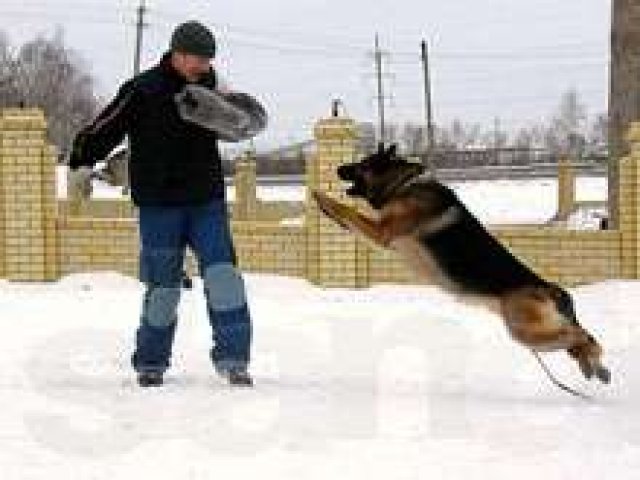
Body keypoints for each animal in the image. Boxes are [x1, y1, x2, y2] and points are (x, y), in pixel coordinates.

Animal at [314, 144, 608, 384]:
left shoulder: (380, 232)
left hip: (525, 332)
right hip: (534, 333)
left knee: (580, 335)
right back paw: (593, 366)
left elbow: (347, 211)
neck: (404, 184)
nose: (338, 168)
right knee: (578, 337)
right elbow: (346, 216)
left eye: (361, 164)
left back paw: (593, 361)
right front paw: (323, 204)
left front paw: (321, 196)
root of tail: (549, 288)